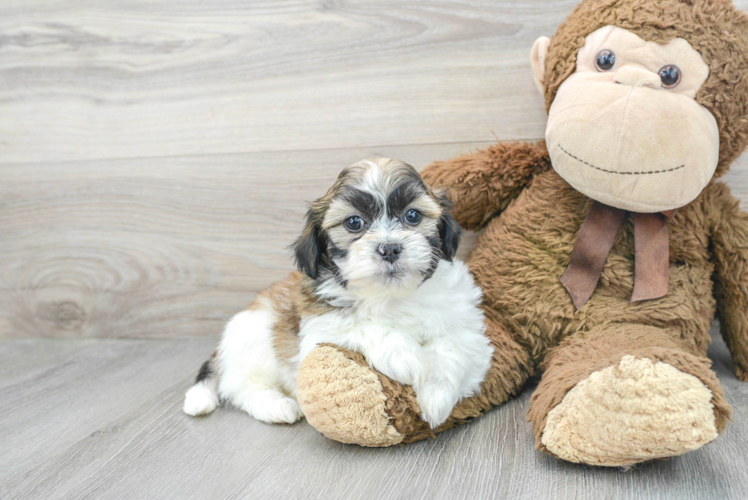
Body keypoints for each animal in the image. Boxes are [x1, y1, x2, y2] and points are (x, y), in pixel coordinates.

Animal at [184, 158, 494, 428]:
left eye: (413, 215)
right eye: (354, 223)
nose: (390, 248)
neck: (391, 297)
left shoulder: (467, 326)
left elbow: (453, 347)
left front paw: (435, 397)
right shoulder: (318, 329)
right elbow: (360, 324)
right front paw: (405, 356)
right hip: (255, 340)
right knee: (240, 386)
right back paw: (277, 406)